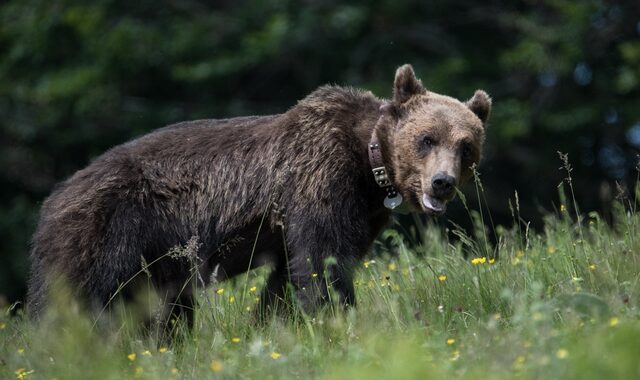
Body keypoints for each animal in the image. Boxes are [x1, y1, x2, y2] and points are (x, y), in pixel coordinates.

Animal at [26, 63, 490, 328]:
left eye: (466, 145)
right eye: (427, 138)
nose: (442, 182)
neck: (369, 165)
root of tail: (53, 198)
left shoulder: (361, 213)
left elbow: (290, 276)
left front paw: (272, 323)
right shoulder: (319, 181)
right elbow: (323, 262)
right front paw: (337, 319)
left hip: (157, 260)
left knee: (163, 309)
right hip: (106, 232)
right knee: (74, 302)